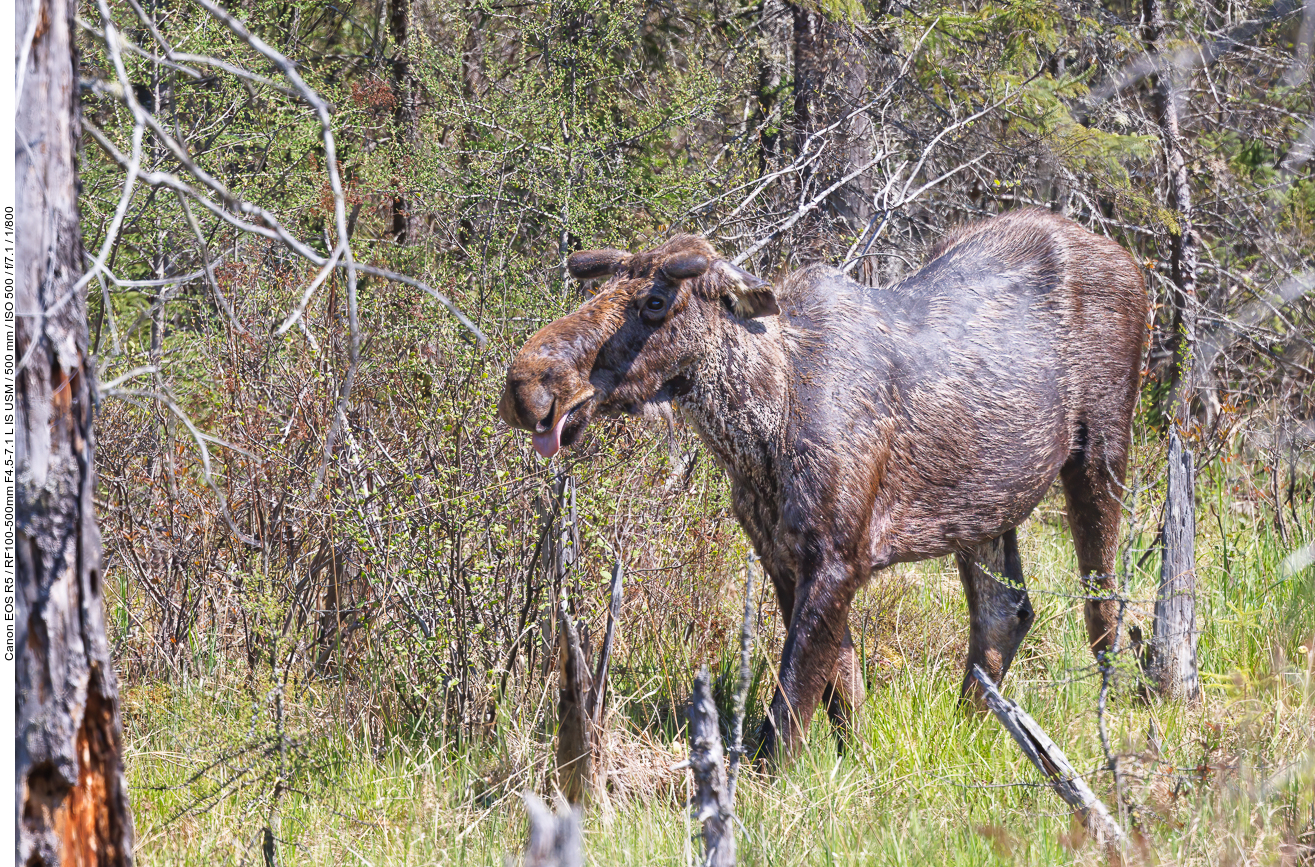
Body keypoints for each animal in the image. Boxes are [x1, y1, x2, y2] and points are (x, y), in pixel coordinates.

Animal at [497, 211, 1146, 768]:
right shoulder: (784, 555)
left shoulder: (838, 555)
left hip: (1101, 451)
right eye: (600, 290)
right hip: (983, 506)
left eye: (655, 302)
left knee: (1103, 603)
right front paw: (855, 761)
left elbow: (787, 716)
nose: (526, 385)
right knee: (1005, 610)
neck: (760, 423)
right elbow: (841, 691)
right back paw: (975, 726)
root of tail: (1133, 265)